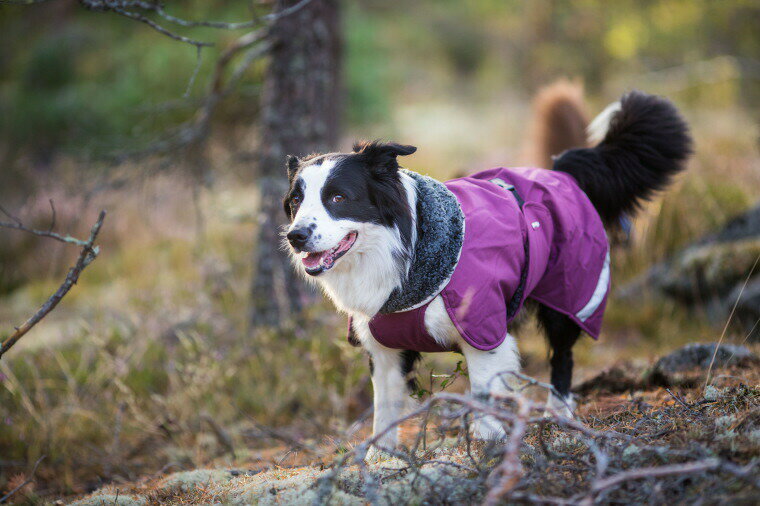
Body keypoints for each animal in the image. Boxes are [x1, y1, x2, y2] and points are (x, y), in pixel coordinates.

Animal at [282, 91, 692, 450]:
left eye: (338, 197)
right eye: (296, 201)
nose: (295, 236)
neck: (406, 255)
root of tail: (562, 170)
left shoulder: (483, 329)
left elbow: (482, 391)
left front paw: (489, 445)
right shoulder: (384, 349)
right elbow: (385, 409)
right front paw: (381, 460)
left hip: (568, 295)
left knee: (562, 359)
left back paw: (560, 417)